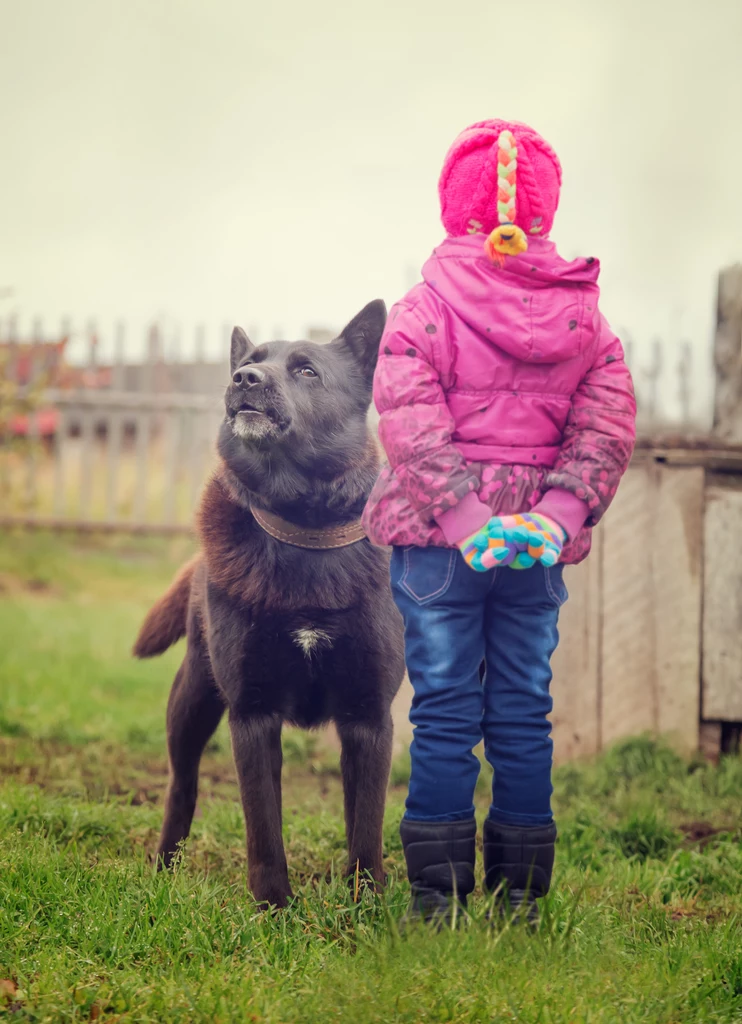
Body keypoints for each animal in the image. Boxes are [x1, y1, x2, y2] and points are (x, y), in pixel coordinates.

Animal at [130, 299, 403, 909]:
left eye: (306, 370)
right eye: (249, 362)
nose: (244, 380)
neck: (301, 528)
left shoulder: (369, 717)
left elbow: (366, 826)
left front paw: (367, 907)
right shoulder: (252, 715)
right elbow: (264, 828)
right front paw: (274, 908)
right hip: (192, 700)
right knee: (182, 786)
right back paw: (163, 869)